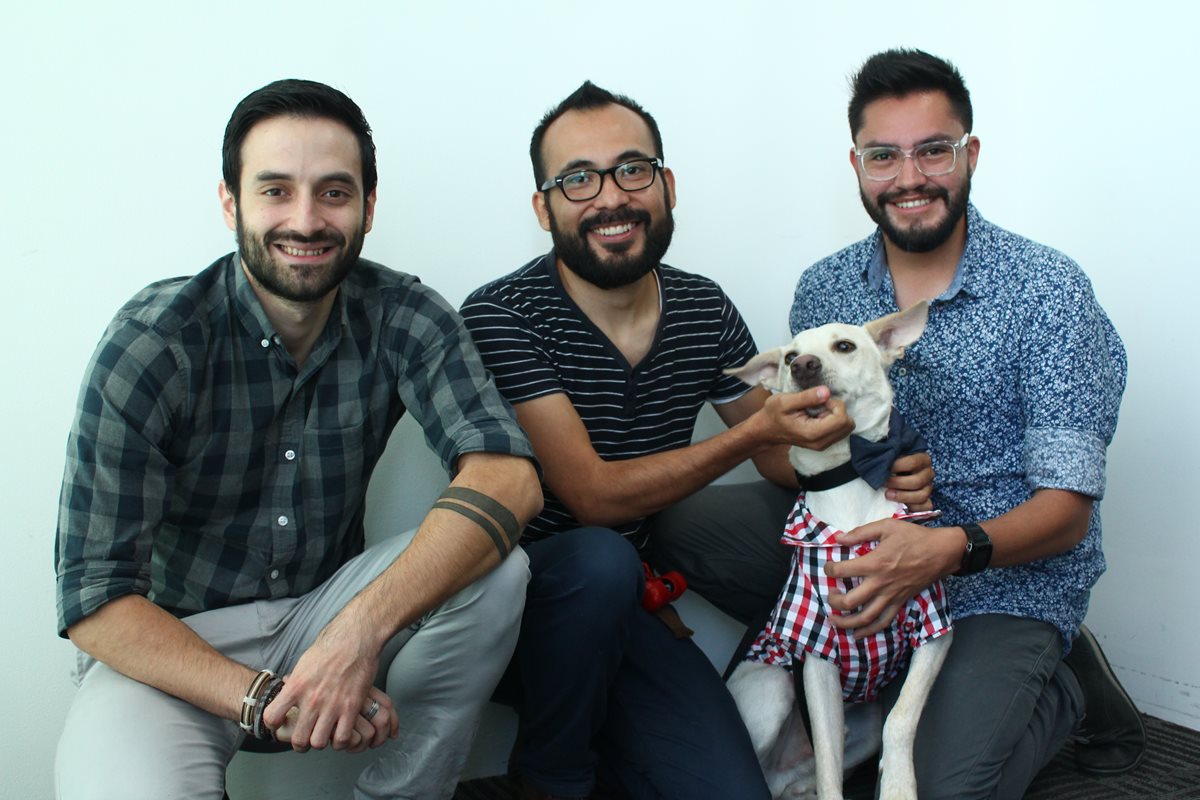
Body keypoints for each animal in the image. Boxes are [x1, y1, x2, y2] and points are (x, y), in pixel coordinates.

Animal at [724, 302, 950, 800]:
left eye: (844, 346)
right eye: (790, 357)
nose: (804, 366)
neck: (848, 474)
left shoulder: (934, 630)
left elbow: (901, 718)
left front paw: (898, 785)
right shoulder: (817, 659)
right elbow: (828, 760)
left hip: (859, 732)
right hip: (773, 690)